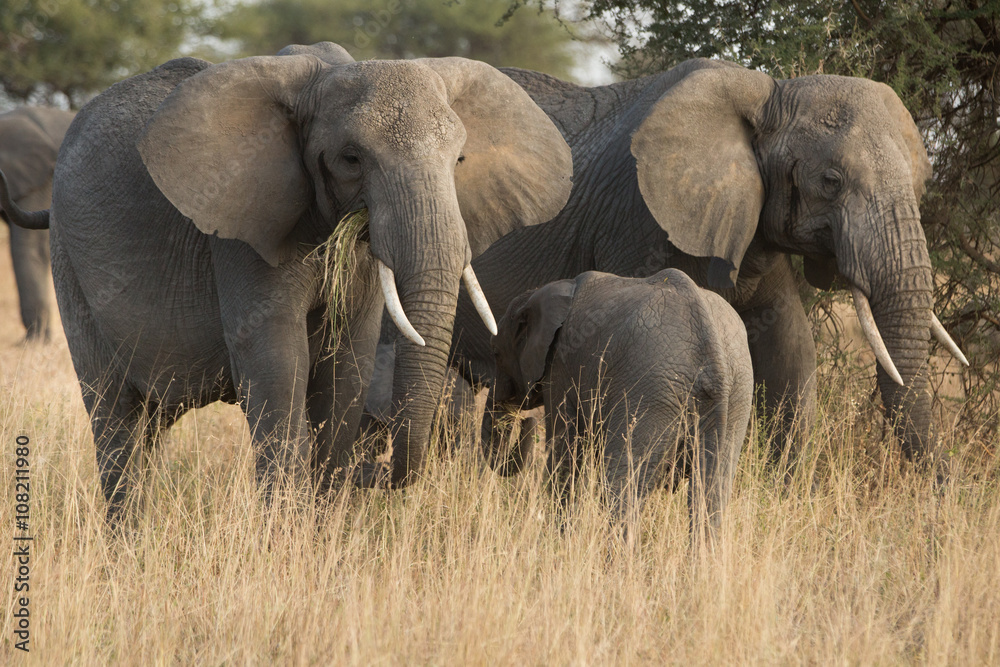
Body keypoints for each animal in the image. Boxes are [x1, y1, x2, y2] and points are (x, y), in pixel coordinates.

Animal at [446, 57, 968, 470]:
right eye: (832, 180)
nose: (947, 485)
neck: (770, 94)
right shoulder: (639, 219)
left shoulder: (750, 223)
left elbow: (790, 350)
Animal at [487, 269, 753, 538]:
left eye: (496, 354)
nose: (525, 422)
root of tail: (713, 353)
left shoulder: (561, 368)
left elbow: (565, 454)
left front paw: (557, 541)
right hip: (736, 397)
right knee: (711, 493)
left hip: (650, 392)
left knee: (623, 489)